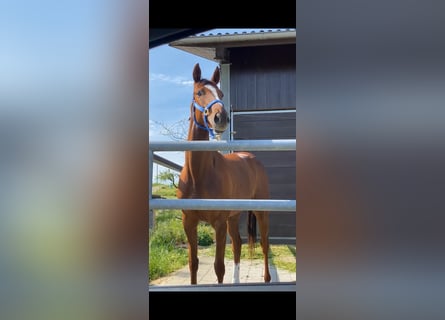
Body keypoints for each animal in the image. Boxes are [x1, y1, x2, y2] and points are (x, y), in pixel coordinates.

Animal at [177, 63, 270, 284]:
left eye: (220, 94)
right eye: (199, 93)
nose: (221, 118)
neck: (198, 175)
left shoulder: (219, 224)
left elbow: (219, 267)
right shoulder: (189, 222)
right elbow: (193, 264)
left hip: (262, 212)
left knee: (264, 246)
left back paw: (267, 278)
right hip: (234, 216)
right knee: (237, 244)